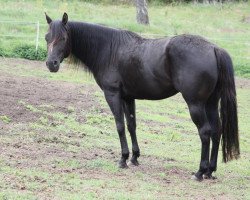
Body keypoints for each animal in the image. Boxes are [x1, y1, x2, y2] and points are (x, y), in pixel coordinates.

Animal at [44, 12, 239, 181]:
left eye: (63, 38)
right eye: (47, 37)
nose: (51, 64)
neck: (108, 49)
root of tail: (213, 48)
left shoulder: (113, 95)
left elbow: (120, 126)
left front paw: (123, 159)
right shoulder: (128, 98)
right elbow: (132, 125)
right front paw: (134, 158)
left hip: (196, 104)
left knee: (205, 132)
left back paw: (200, 172)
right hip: (211, 103)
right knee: (216, 131)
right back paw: (210, 171)